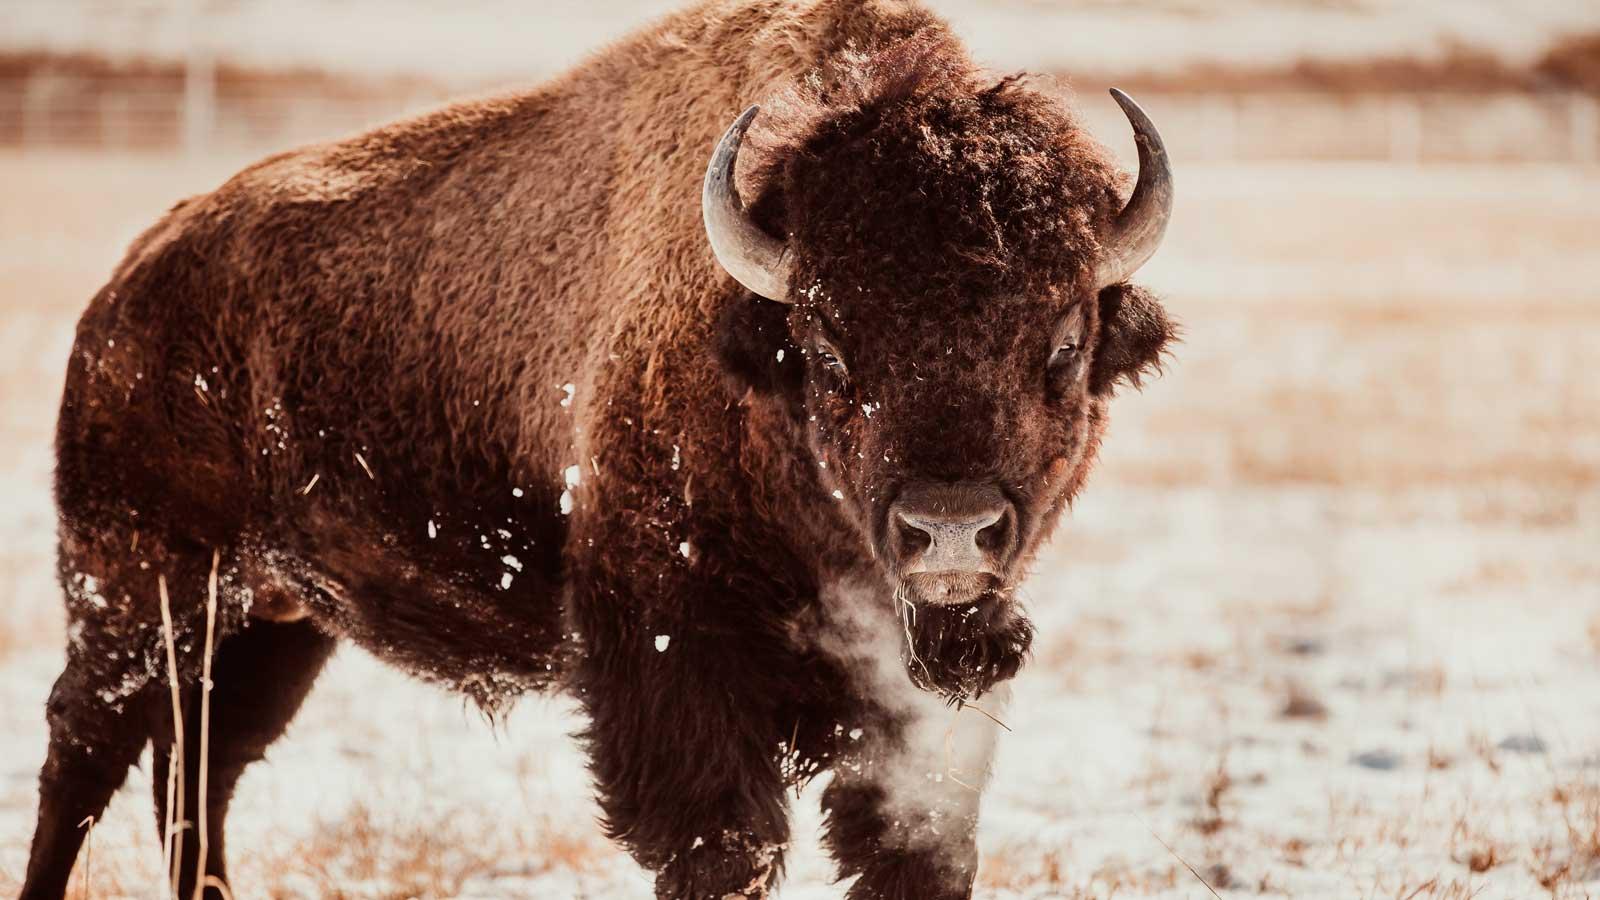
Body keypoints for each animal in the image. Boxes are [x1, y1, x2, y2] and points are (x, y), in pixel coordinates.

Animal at [21, 1, 1177, 896]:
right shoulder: (670, 673)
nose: (949, 531)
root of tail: (128, 286)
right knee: (86, 748)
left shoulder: (929, 709)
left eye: (1064, 344)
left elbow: (915, 847)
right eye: (825, 347)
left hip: (276, 619)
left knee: (201, 764)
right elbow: (721, 847)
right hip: (136, 590)